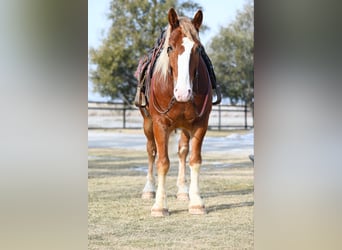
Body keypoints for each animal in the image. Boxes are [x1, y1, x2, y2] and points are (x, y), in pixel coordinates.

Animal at [138, 7, 211, 215]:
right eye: (170, 48)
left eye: (197, 49)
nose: (183, 92)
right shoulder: (160, 125)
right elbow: (162, 162)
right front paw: (159, 206)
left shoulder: (200, 124)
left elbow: (194, 160)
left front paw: (196, 202)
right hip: (147, 124)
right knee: (151, 151)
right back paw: (149, 189)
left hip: (185, 127)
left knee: (182, 152)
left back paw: (183, 191)